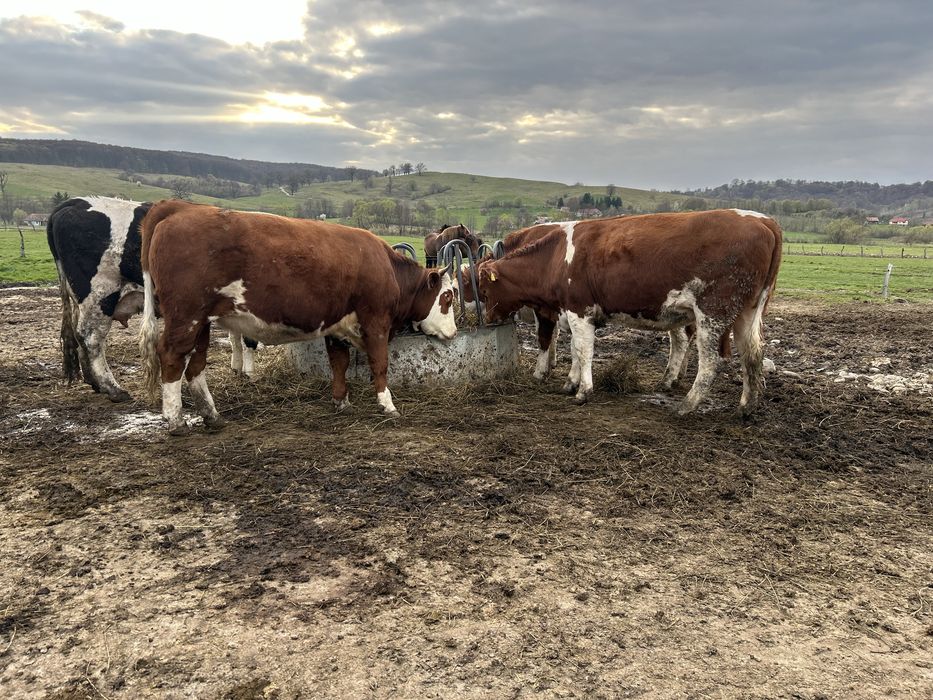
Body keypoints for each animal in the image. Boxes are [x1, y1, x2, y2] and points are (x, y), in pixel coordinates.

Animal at [138, 200, 458, 435]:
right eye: (447, 297)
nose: (454, 333)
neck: (386, 268)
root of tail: (180, 207)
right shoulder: (376, 321)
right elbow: (380, 364)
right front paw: (387, 405)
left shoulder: (337, 326)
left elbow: (339, 364)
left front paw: (341, 401)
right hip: (185, 316)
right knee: (172, 356)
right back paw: (175, 419)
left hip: (201, 322)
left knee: (196, 365)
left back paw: (211, 415)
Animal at [476, 210, 782, 416]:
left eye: (484, 290)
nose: (489, 320)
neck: (556, 256)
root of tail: (762, 221)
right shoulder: (571, 312)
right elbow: (575, 349)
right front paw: (570, 382)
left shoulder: (578, 310)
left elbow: (583, 350)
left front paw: (582, 391)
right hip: (747, 313)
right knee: (752, 355)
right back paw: (746, 406)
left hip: (713, 313)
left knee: (711, 361)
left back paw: (686, 405)